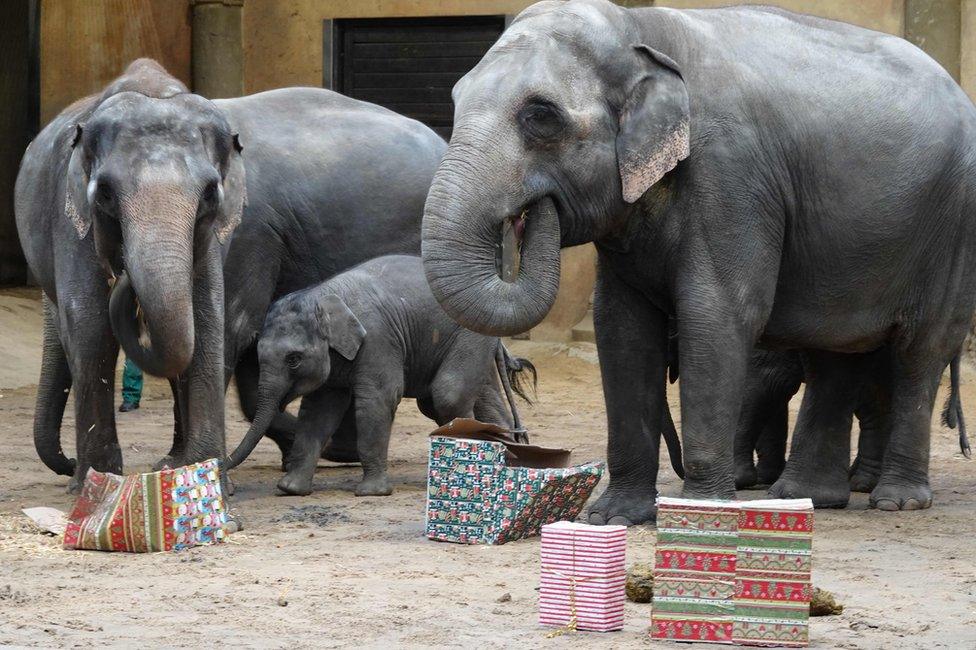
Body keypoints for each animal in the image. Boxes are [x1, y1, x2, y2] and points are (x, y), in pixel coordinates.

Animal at [17, 59, 444, 486]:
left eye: (210, 193)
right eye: (103, 193)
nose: (68, 462)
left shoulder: (248, 233)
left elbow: (222, 326)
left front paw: (185, 466)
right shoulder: (69, 218)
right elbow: (93, 326)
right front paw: (145, 470)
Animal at [223, 254, 532, 496]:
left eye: (294, 359)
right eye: (259, 353)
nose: (222, 466)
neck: (325, 295)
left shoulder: (378, 339)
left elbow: (378, 398)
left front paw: (371, 492)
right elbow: (318, 411)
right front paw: (290, 489)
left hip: (469, 336)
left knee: (448, 395)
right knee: (471, 400)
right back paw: (508, 458)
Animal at [418, 0, 976, 520]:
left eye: (541, 116)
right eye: (455, 99)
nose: (529, 215)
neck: (641, 30)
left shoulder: (732, 176)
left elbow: (717, 313)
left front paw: (704, 510)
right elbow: (621, 327)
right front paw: (614, 516)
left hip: (952, 230)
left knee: (920, 351)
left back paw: (896, 500)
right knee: (833, 353)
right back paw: (807, 497)